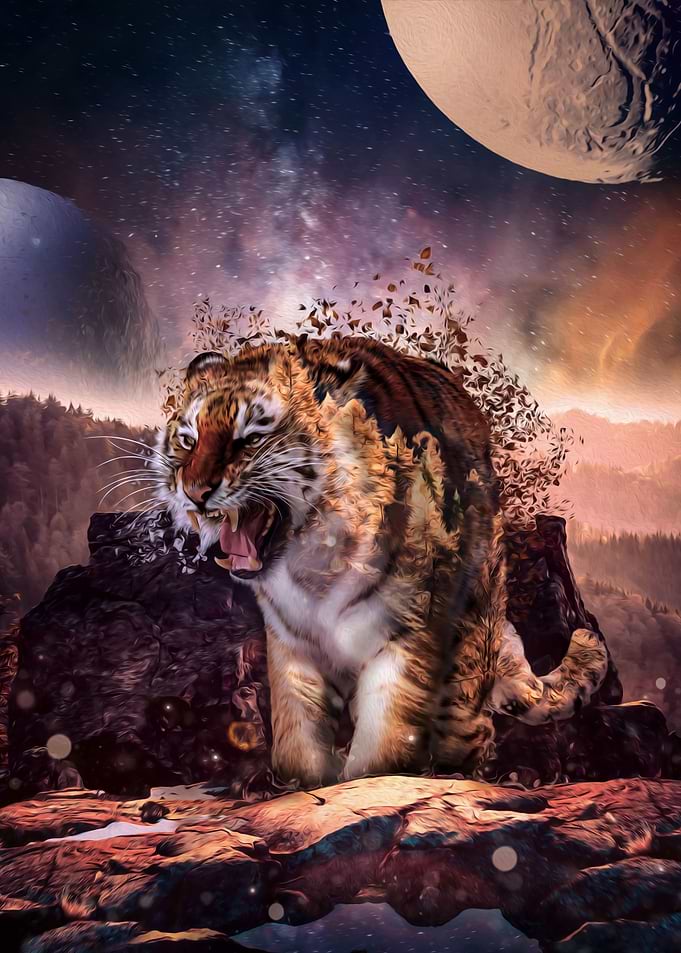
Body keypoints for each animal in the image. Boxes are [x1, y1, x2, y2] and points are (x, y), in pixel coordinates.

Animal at [156, 335, 608, 787]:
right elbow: (297, 740)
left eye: (250, 438)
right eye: (188, 440)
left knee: (469, 716)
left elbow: (386, 740)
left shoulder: (407, 634)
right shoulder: (291, 644)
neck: (310, 569)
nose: (193, 490)